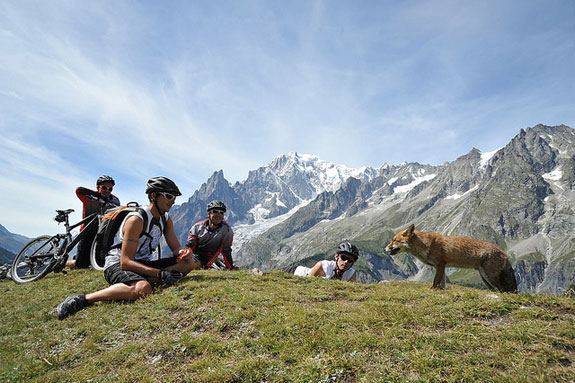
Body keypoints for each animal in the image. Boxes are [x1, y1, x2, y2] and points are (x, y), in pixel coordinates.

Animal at [388, 224, 516, 292]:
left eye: (395, 240)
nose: (386, 248)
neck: (425, 245)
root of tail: (504, 253)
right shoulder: (441, 267)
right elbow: (442, 283)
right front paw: (441, 291)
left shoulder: (440, 264)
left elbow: (435, 281)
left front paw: (432, 290)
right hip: (485, 279)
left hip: (489, 276)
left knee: (503, 289)